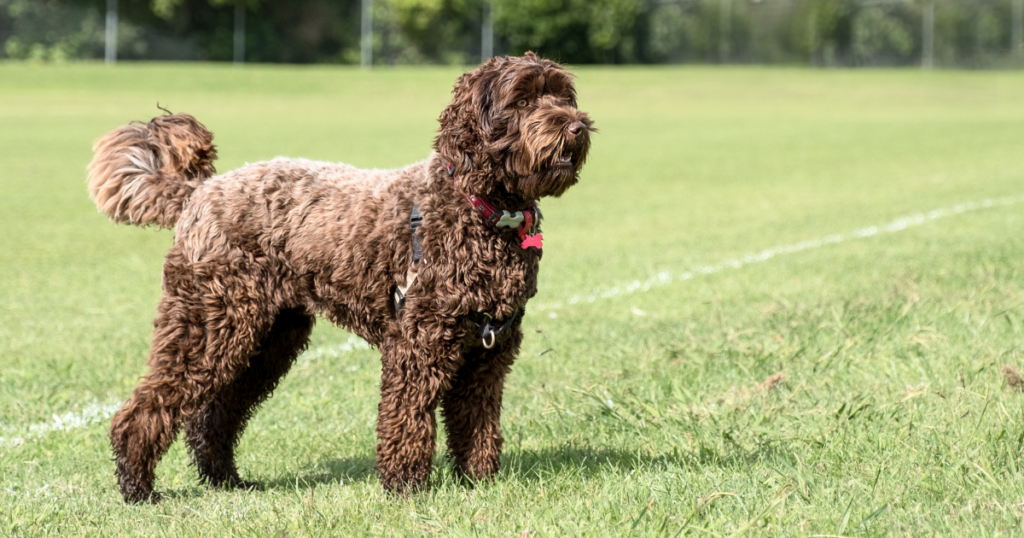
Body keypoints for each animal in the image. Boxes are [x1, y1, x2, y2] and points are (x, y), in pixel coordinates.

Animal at [90, 52, 593, 502]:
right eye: (522, 101)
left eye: (563, 95)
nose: (577, 126)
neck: (481, 210)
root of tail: (199, 191)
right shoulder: (418, 344)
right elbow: (407, 417)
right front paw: (406, 487)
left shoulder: (489, 352)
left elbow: (477, 421)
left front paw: (479, 481)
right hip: (208, 325)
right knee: (147, 408)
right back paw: (137, 487)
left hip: (268, 339)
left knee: (214, 415)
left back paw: (225, 480)